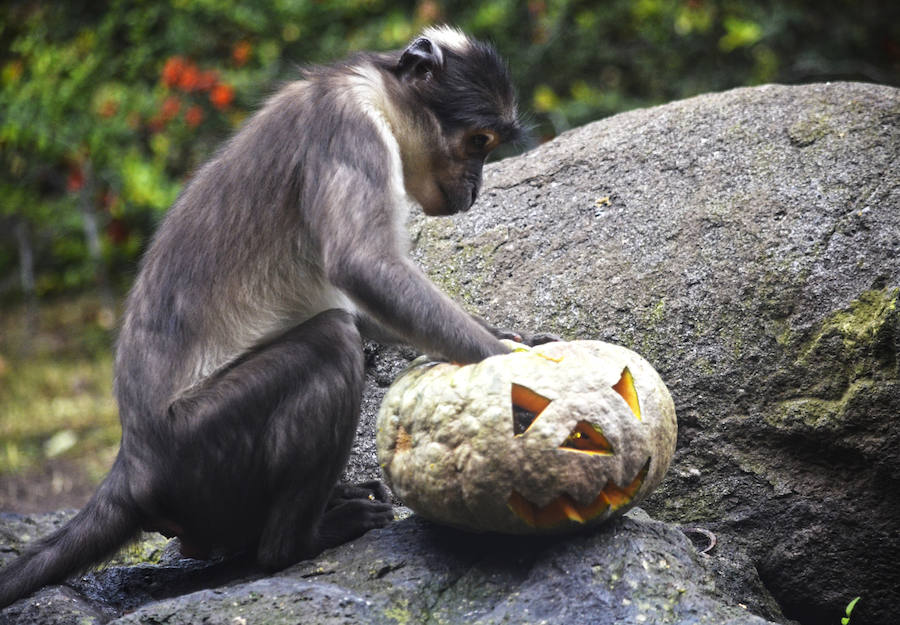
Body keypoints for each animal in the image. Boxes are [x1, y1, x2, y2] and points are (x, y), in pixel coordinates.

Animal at [0, 26, 528, 608]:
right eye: (478, 142)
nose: (476, 189)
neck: (377, 91)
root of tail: (133, 462)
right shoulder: (347, 127)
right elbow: (363, 269)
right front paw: (513, 369)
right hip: (199, 449)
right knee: (332, 341)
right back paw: (297, 542)